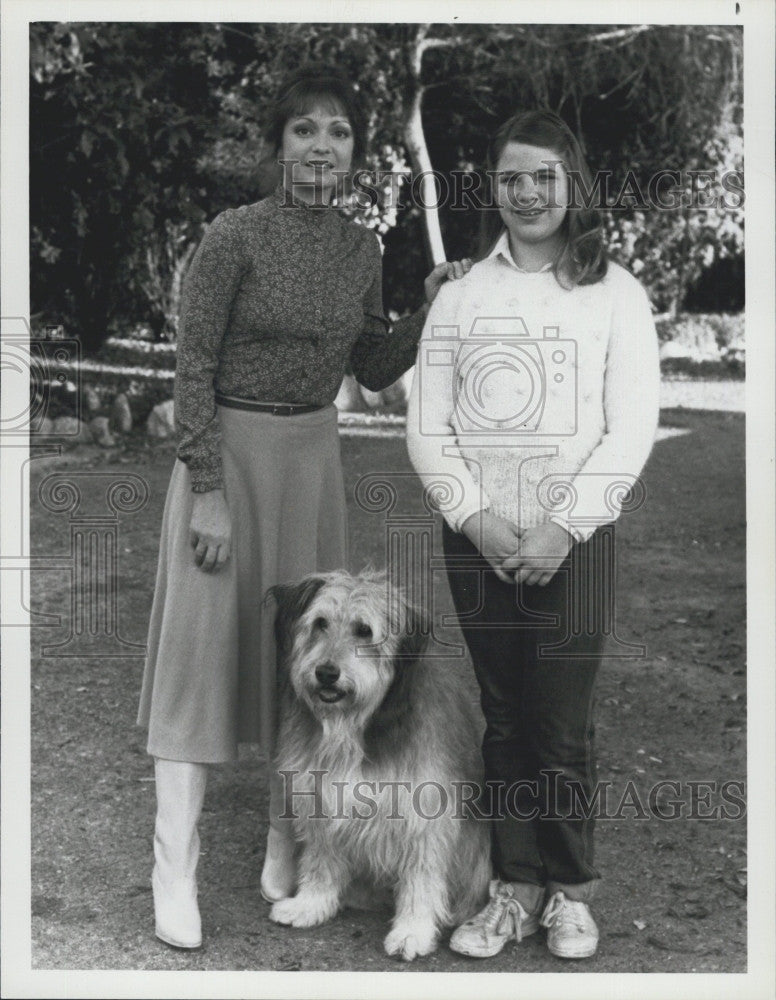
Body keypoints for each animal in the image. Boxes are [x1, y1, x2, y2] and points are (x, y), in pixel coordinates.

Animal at [264, 572, 488, 960]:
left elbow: (421, 875)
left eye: (364, 631)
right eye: (320, 623)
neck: (355, 725)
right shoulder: (322, 797)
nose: (326, 673)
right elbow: (321, 858)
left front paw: (413, 930)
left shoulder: (423, 813)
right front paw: (311, 904)